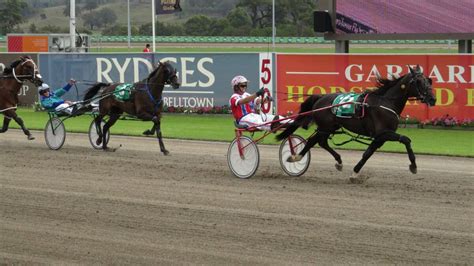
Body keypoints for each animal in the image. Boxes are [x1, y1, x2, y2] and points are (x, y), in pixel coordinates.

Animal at [278, 65, 436, 181]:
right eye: (419, 82)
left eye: (429, 81)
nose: (433, 99)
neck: (385, 102)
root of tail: (320, 97)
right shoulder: (384, 133)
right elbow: (406, 139)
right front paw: (413, 165)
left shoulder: (379, 137)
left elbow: (367, 153)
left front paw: (355, 172)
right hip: (325, 126)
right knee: (313, 141)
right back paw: (296, 157)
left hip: (330, 127)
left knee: (320, 141)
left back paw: (338, 161)